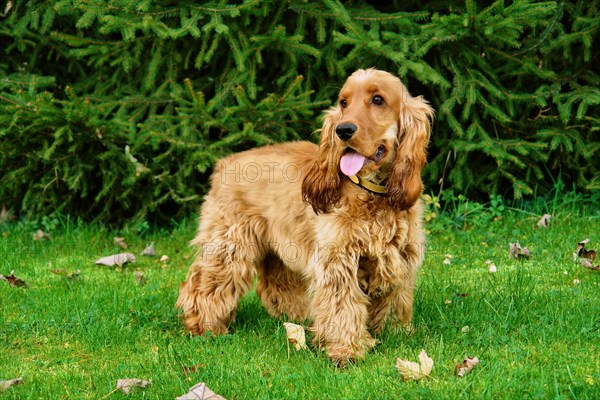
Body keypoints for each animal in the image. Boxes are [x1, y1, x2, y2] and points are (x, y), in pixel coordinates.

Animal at [176, 69, 434, 362]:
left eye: (378, 99)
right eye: (344, 102)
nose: (343, 130)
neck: (372, 195)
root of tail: (224, 163)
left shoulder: (399, 256)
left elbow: (394, 299)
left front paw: (396, 332)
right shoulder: (337, 259)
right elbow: (342, 306)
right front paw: (344, 349)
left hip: (279, 248)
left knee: (273, 285)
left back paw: (299, 317)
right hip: (228, 244)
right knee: (203, 285)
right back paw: (203, 326)